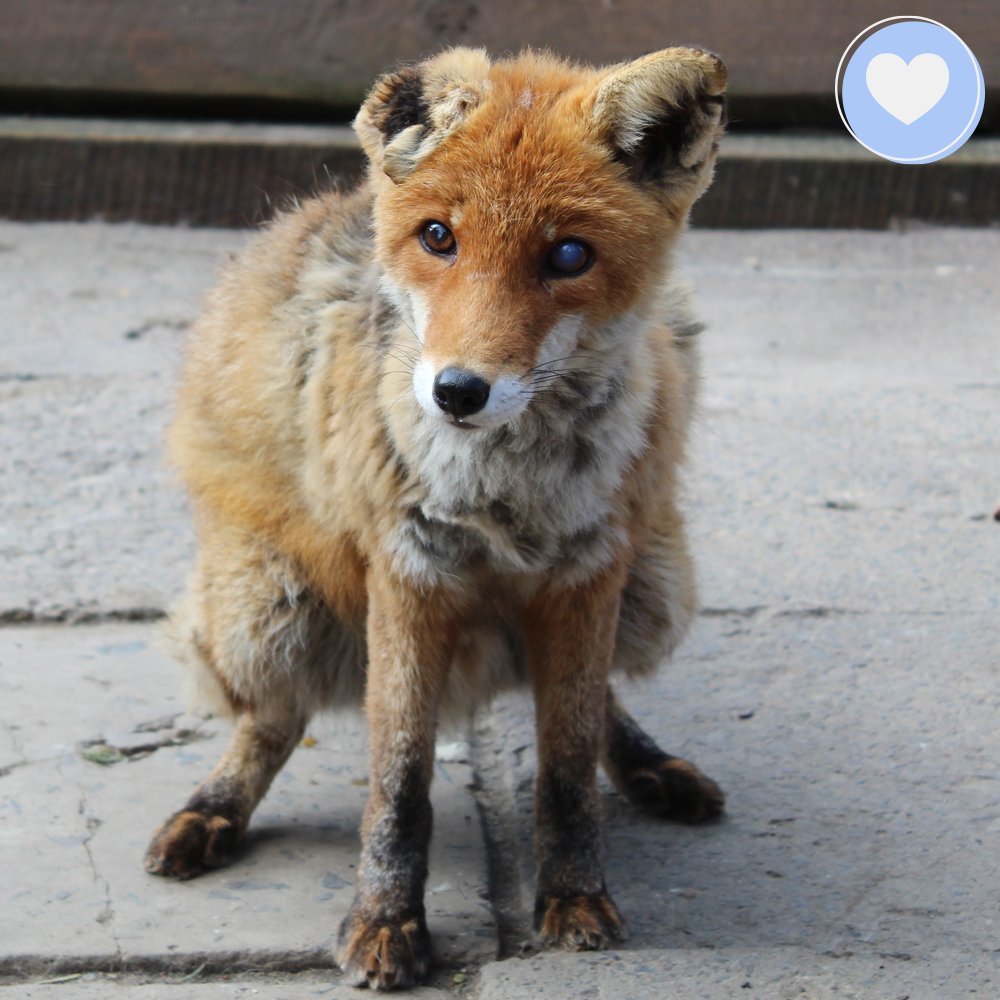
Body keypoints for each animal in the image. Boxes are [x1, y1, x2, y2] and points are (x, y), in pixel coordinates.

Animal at [144, 46, 728, 990]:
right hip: (264, 611)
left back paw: (646, 764)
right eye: (438, 238)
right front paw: (385, 923)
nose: (457, 392)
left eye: (569, 254)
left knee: (595, 701)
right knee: (272, 718)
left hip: (657, 586)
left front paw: (573, 897)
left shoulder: (587, 573)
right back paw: (214, 808)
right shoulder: (409, 576)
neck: (505, 500)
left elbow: (568, 762)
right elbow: (399, 783)